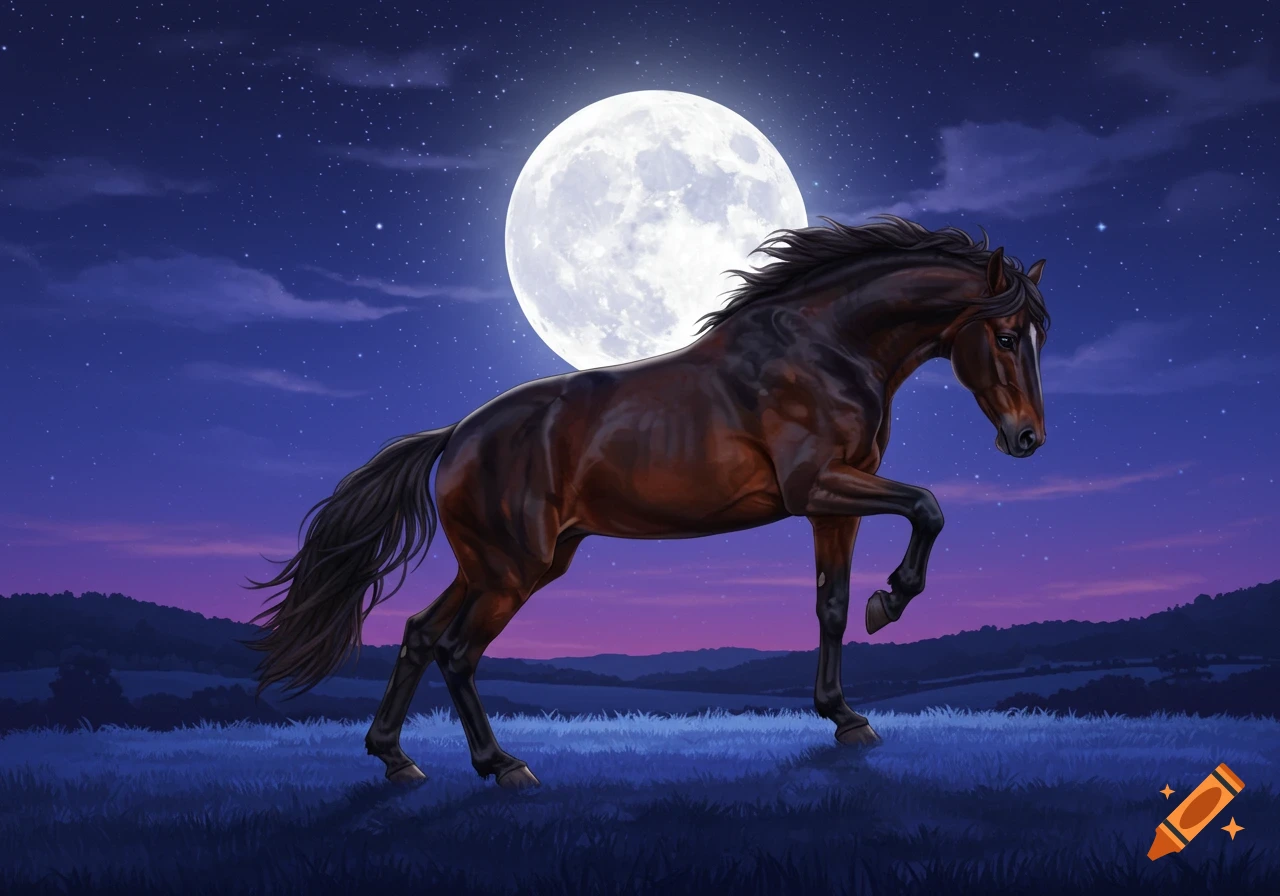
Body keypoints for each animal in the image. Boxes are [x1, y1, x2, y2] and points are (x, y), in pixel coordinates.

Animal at [247, 215, 1050, 789]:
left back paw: (396, 760)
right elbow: (929, 506)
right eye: (1007, 335)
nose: (1028, 437)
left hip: (500, 565)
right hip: (511, 571)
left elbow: (831, 604)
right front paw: (893, 602)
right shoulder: (821, 486)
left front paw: (846, 715)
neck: (826, 349)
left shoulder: (831, 508)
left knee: (418, 635)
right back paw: (502, 766)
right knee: (456, 651)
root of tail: (455, 437)